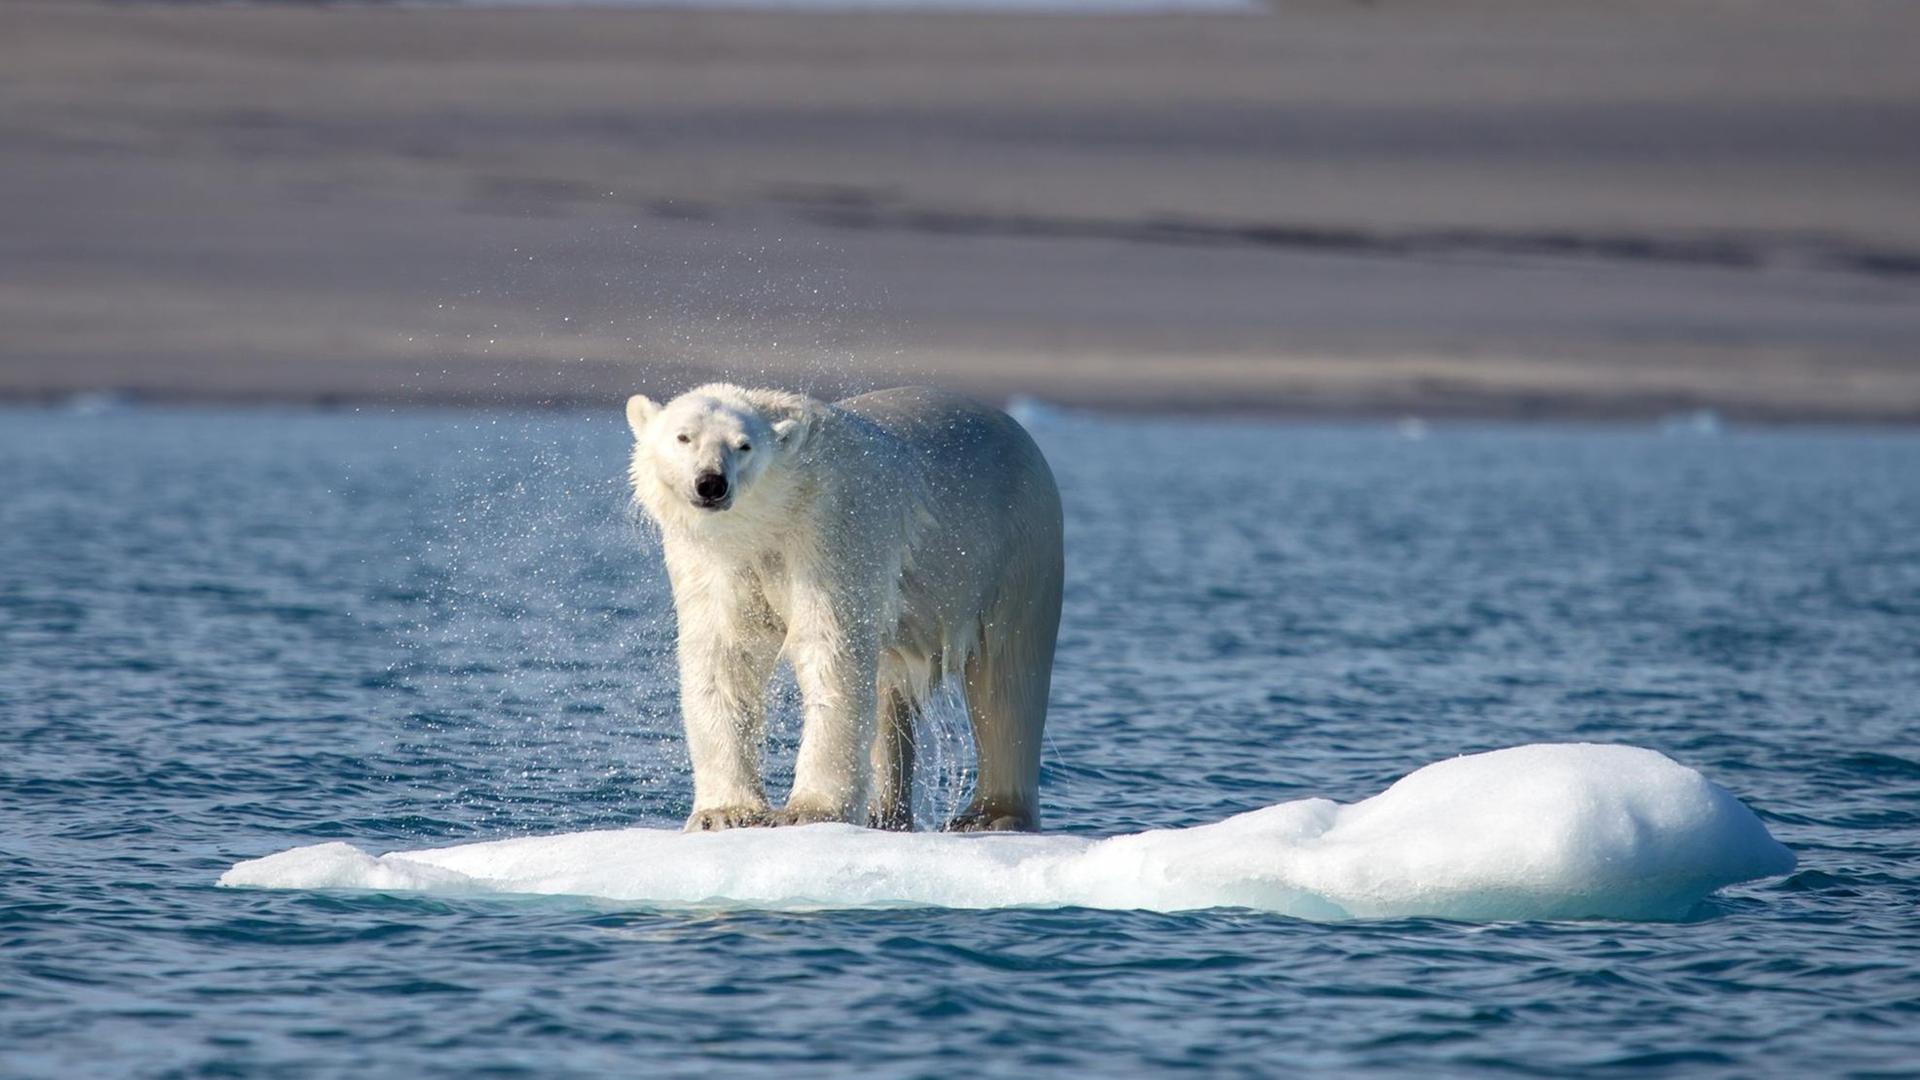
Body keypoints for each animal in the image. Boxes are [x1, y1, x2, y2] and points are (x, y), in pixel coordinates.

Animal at [625, 382, 1067, 826]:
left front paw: (808, 811)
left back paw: (990, 814)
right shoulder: (716, 563)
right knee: (890, 691)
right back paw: (882, 812)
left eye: (743, 445)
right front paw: (724, 813)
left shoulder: (832, 532)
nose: (711, 483)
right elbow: (724, 659)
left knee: (1007, 680)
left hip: (1017, 548)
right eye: (684, 437)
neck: (777, 514)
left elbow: (830, 650)